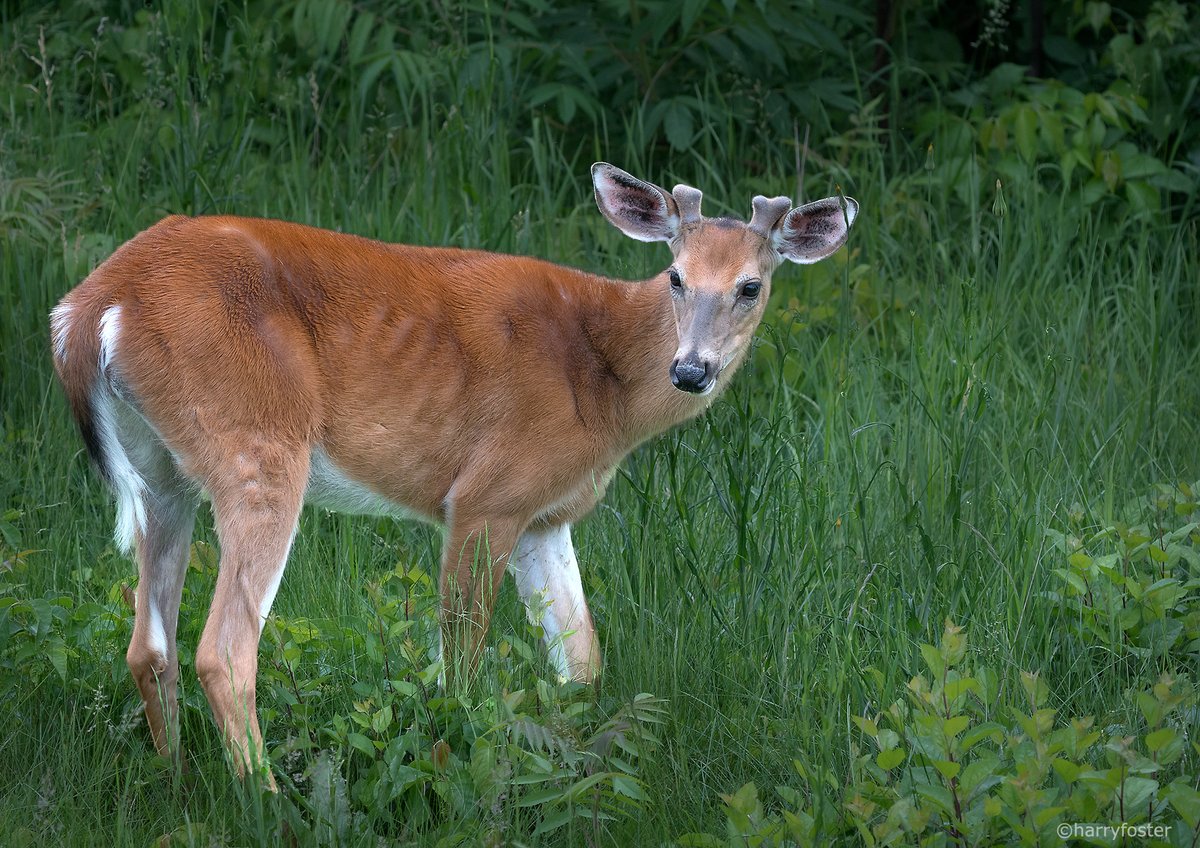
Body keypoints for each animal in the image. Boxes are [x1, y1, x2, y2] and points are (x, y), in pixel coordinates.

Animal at [50, 163, 858, 783]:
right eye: (676, 276)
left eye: (751, 286)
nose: (691, 370)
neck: (604, 388)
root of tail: (91, 305)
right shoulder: (485, 495)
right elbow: (460, 668)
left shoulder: (545, 517)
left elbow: (581, 663)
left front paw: (579, 771)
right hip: (259, 442)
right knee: (223, 649)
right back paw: (266, 799)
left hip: (162, 474)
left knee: (149, 646)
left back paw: (179, 779)